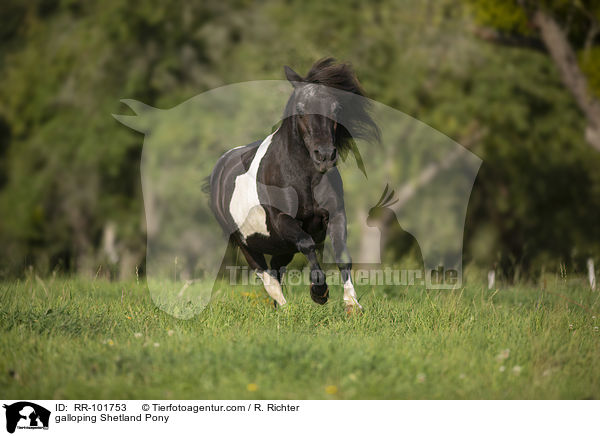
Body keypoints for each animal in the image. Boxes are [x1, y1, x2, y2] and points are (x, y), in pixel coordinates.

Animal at [206, 58, 380, 312]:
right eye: (300, 108)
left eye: (336, 109)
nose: (324, 155)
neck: (303, 178)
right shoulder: (283, 220)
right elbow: (307, 245)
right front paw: (319, 292)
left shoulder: (336, 214)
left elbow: (342, 255)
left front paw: (352, 304)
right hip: (247, 243)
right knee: (267, 276)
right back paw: (286, 309)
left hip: (281, 247)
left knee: (276, 270)